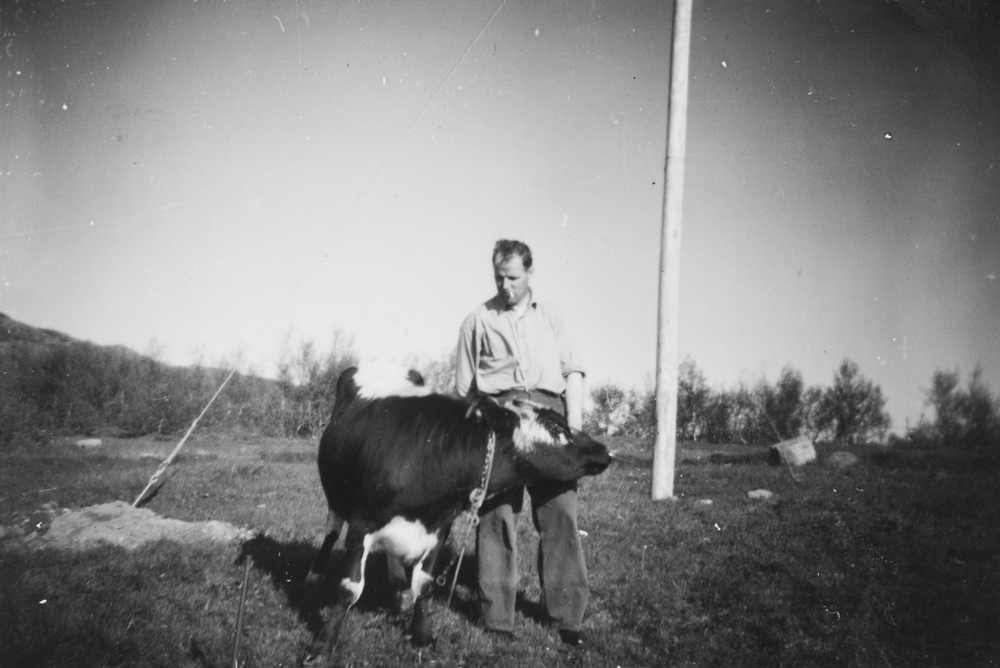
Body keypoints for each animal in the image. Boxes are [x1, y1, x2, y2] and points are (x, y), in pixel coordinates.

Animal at [304, 366, 612, 664]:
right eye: (554, 424)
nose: (604, 450)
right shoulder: (362, 525)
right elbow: (349, 589)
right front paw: (323, 645)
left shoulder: (439, 528)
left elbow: (423, 585)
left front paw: (422, 635)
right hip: (336, 502)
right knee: (331, 533)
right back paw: (314, 576)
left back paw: (398, 589)